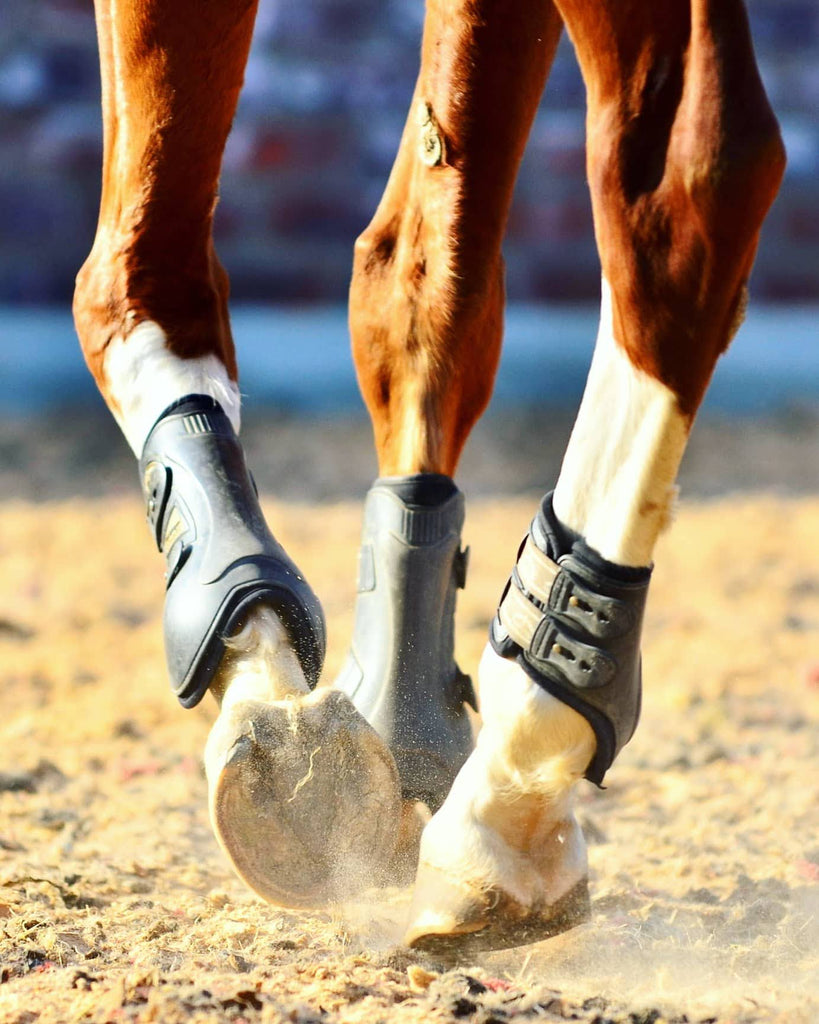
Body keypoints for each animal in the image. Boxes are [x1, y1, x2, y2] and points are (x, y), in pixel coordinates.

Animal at [72, 0, 786, 950]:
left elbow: (137, 279)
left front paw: (285, 726)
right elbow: (420, 284)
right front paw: (343, 738)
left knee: (677, 176)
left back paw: (506, 794)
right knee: (694, 181)